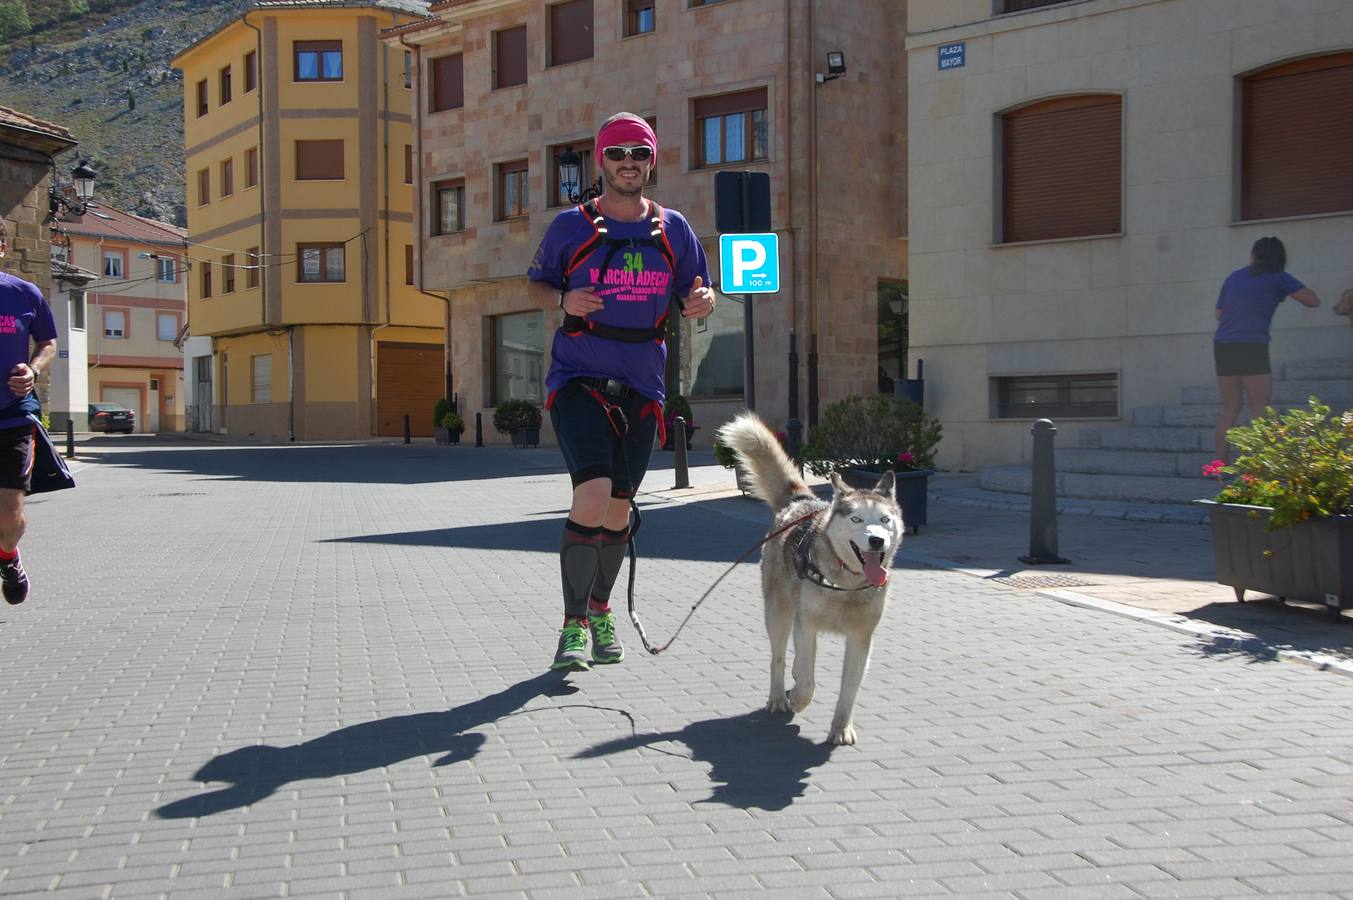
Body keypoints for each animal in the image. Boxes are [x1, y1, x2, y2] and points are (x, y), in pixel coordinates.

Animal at [714, 414, 903, 741]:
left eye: (884, 520)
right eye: (856, 519)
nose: (877, 540)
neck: (845, 584)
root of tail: (801, 501)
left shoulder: (861, 638)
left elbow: (848, 690)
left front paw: (841, 728)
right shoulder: (807, 626)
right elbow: (807, 681)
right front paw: (798, 698)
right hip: (778, 613)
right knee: (778, 656)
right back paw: (779, 696)